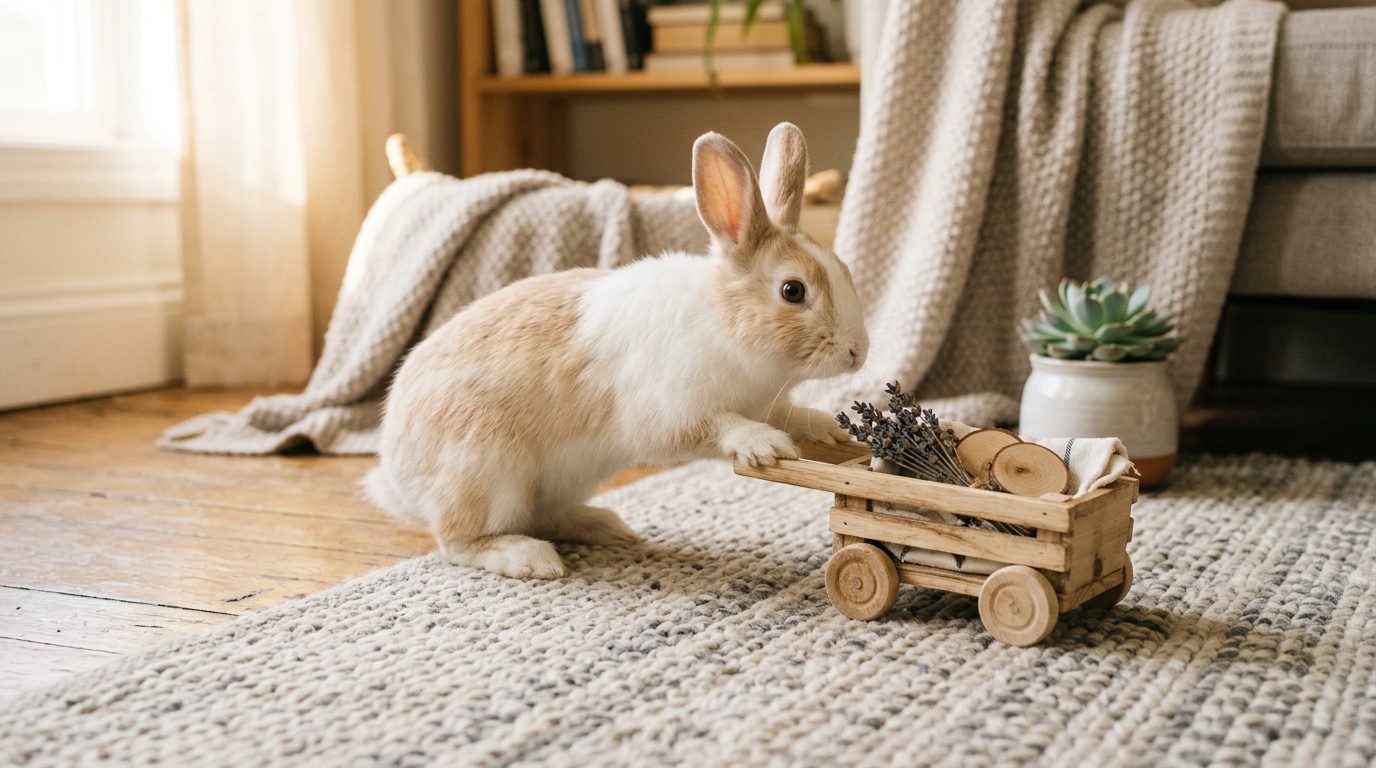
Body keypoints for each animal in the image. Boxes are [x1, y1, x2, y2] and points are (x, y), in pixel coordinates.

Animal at [364, 122, 869, 579]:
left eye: (844, 269)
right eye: (792, 291)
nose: (858, 353)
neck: (724, 322)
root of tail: (399, 477)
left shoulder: (770, 402)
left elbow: (792, 414)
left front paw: (829, 429)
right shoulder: (671, 414)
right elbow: (717, 426)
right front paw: (762, 444)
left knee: (541, 516)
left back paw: (608, 527)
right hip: (487, 471)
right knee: (458, 540)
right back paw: (530, 559)